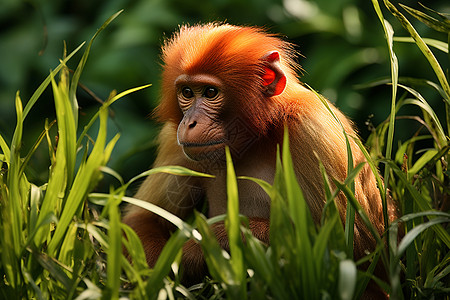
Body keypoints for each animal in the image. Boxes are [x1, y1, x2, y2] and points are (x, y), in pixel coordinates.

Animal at [122, 23, 394, 298]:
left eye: (210, 92)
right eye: (187, 92)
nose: (189, 123)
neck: (258, 137)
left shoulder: (314, 129)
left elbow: (354, 257)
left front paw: (206, 244)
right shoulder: (174, 141)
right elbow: (143, 219)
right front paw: (160, 276)